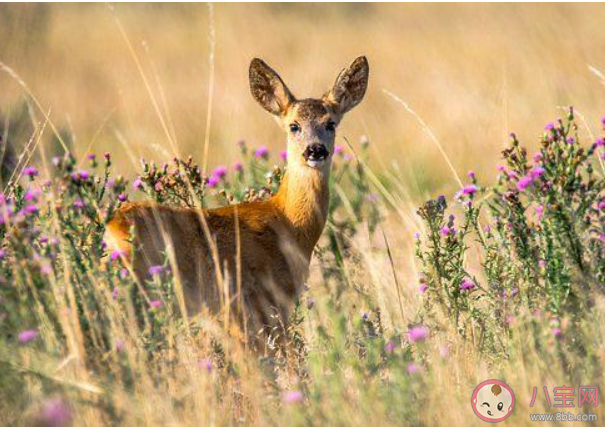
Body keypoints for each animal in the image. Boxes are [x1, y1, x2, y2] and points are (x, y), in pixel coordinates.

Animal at [105, 56, 368, 352]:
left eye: (331, 123)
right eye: (294, 125)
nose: (315, 150)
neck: (288, 223)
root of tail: (112, 227)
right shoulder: (260, 301)